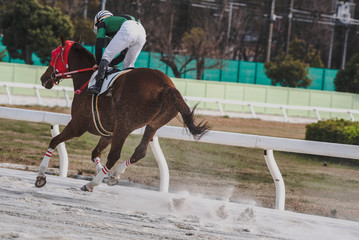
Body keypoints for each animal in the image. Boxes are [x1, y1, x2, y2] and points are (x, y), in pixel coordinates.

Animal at [37, 36, 208, 192]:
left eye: (53, 54)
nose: (44, 78)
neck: (86, 79)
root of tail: (167, 86)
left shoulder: (78, 125)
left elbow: (54, 141)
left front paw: (41, 176)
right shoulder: (107, 133)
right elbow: (95, 153)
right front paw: (107, 175)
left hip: (124, 125)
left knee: (114, 155)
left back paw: (91, 184)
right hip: (153, 124)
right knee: (140, 151)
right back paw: (113, 175)